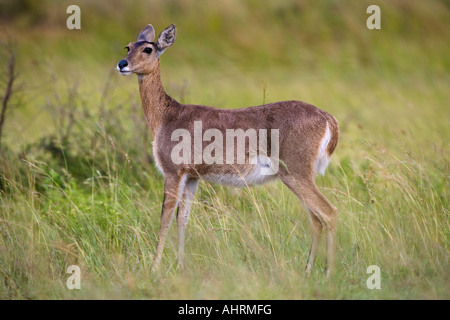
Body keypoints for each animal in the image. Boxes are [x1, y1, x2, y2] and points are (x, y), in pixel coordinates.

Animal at [118, 23, 340, 276]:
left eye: (148, 49)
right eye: (128, 46)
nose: (122, 64)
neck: (166, 116)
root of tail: (329, 119)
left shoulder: (172, 171)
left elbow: (165, 217)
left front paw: (154, 268)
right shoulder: (192, 176)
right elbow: (182, 217)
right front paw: (180, 265)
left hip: (295, 171)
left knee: (329, 211)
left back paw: (328, 273)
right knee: (316, 218)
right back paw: (308, 270)